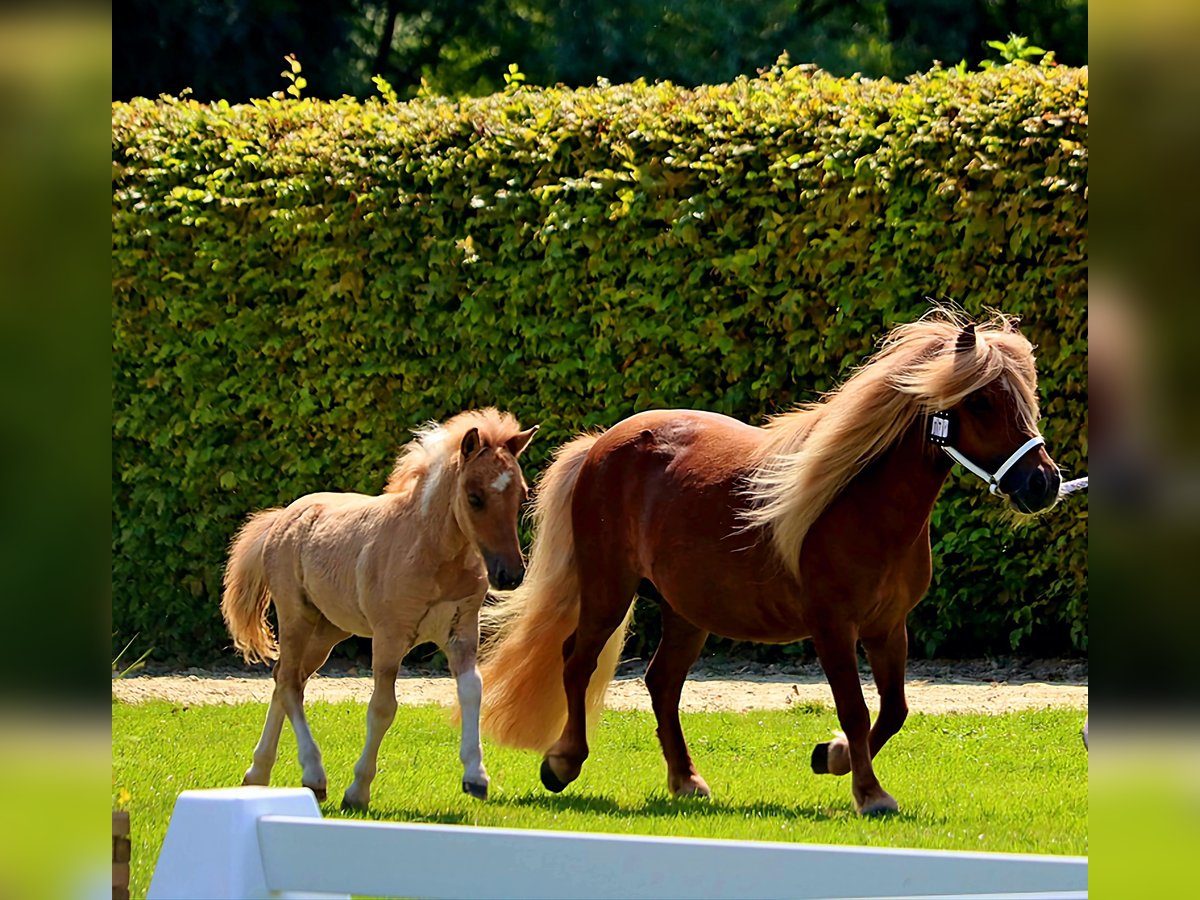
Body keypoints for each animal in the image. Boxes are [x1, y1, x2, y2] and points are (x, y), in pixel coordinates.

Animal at [222, 408, 540, 811]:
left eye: (522, 495)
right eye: (474, 497)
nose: (510, 574)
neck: (432, 552)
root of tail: (283, 516)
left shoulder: (462, 631)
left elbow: (472, 690)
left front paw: (476, 777)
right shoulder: (390, 637)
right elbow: (383, 708)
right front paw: (358, 790)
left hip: (328, 630)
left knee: (284, 678)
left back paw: (257, 774)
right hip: (296, 617)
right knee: (290, 682)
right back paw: (313, 775)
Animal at [477, 316, 1060, 816]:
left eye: (1027, 397)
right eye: (982, 401)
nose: (1044, 483)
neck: (860, 503)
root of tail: (601, 445)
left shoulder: (888, 626)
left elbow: (893, 710)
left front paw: (833, 756)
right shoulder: (833, 627)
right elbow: (856, 709)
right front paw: (870, 794)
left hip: (686, 611)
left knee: (661, 682)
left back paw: (686, 781)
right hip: (608, 591)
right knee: (577, 662)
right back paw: (563, 763)